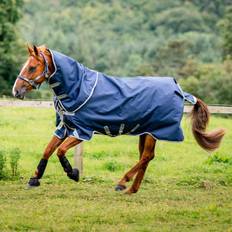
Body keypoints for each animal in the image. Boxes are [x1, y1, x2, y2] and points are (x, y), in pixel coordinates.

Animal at [12, 45, 225, 194]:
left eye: (32, 67)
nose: (16, 91)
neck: (78, 88)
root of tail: (179, 90)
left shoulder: (82, 131)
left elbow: (60, 151)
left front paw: (73, 173)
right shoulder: (65, 127)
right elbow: (48, 150)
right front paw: (34, 179)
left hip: (154, 131)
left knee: (146, 156)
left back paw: (122, 183)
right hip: (146, 131)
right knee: (147, 157)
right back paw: (132, 189)